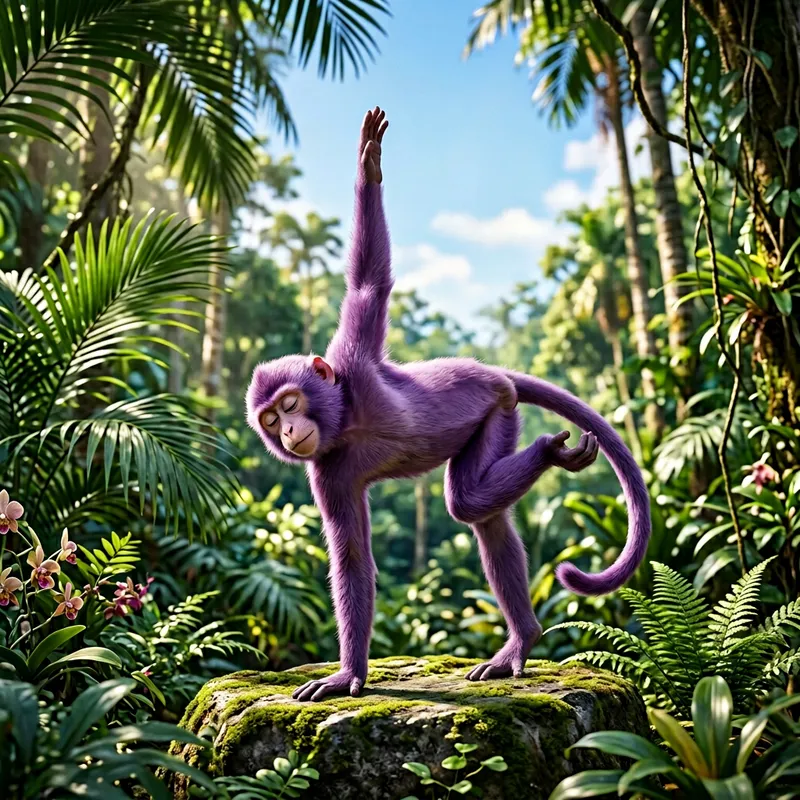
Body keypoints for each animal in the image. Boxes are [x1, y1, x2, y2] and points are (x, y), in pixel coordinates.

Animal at [246, 107, 651, 702]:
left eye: (293, 402)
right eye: (271, 420)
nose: (291, 432)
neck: (347, 421)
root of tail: (494, 373)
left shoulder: (352, 361)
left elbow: (369, 285)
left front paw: (369, 164)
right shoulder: (325, 471)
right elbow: (351, 556)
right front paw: (349, 672)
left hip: (500, 409)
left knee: (468, 501)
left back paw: (546, 459)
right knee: (479, 508)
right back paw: (523, 638)